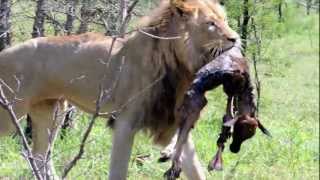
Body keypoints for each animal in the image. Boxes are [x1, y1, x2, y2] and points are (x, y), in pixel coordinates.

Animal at [0, 0, 238, 179]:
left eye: (224, 20)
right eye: (211, 23)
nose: (235, 38)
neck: (178, 65)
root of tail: (5, 52)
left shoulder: (175, 122)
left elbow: (196, 169)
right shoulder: (125, 122)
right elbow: (118, 170)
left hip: (52, 111)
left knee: (40, 155)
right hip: (11, 111)